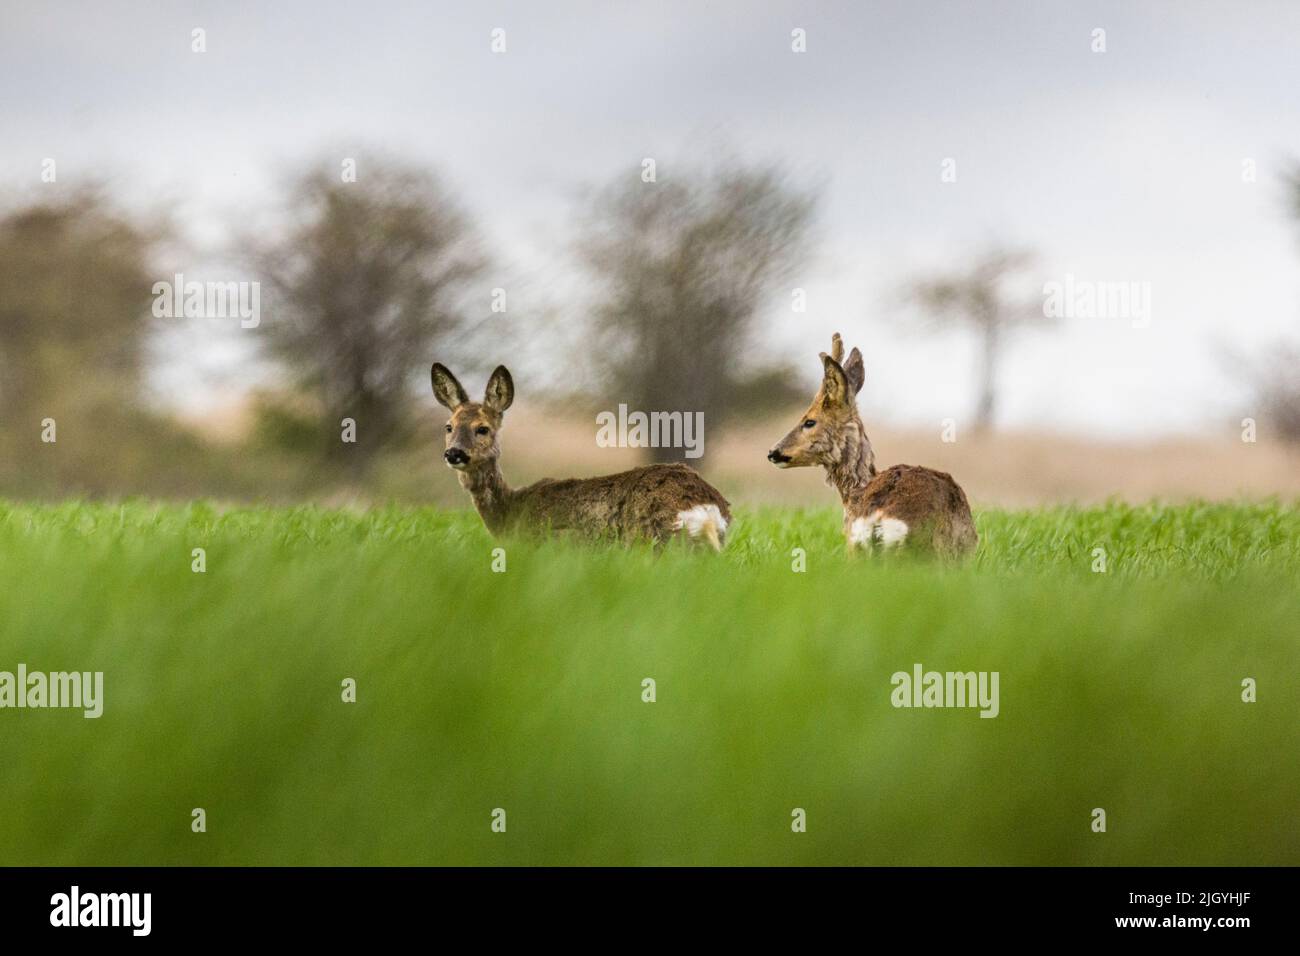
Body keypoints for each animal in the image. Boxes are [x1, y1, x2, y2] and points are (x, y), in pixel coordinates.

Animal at [426, 361, 733, 554]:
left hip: (650, 539)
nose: (454, 453)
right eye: (448, 427)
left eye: (483, 428)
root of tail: (707, 506)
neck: (511, 513)